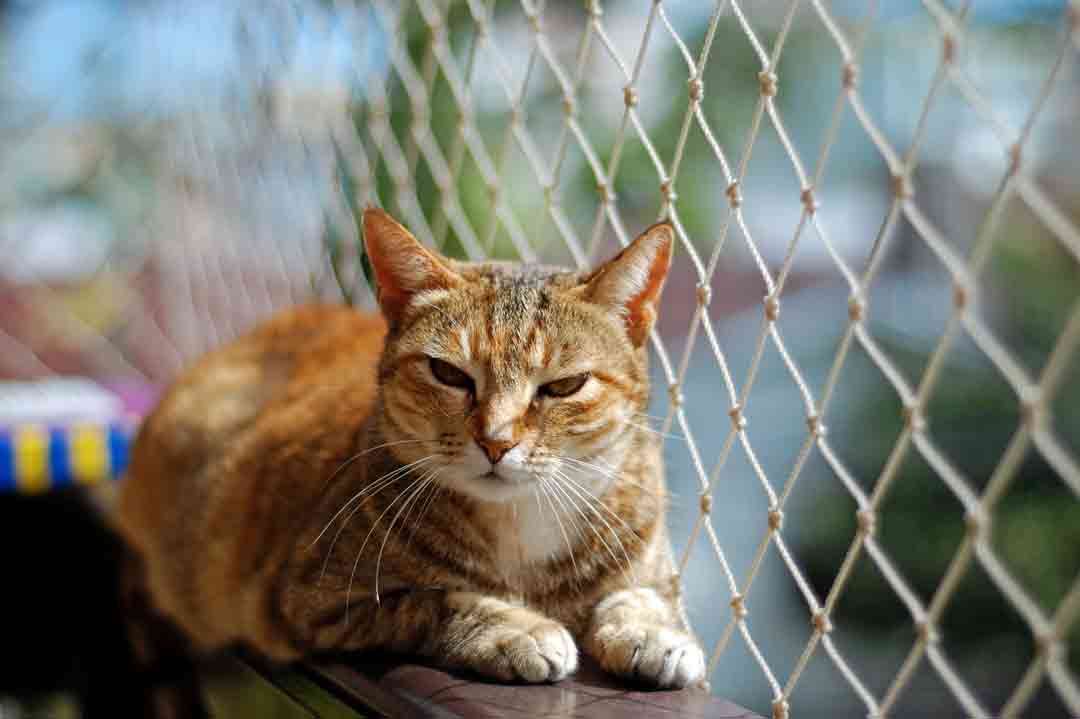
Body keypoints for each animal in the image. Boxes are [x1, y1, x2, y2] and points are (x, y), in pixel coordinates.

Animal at [116, 208, 708, 690]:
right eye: (449, 374)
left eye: (563, 386)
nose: (496, 441)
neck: (521, 527)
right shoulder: (310, 597)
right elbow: (438, 598)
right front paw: (514, 628)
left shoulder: (647, 556)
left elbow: (643, 594)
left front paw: (654, 632)